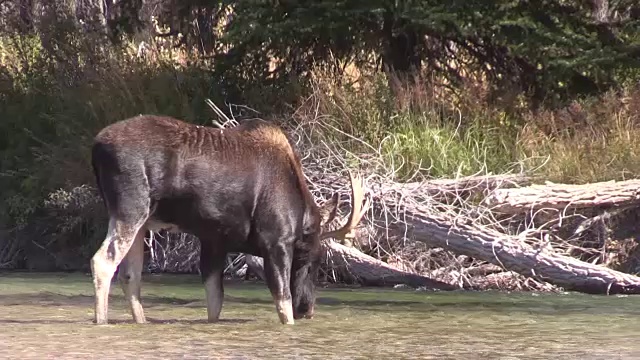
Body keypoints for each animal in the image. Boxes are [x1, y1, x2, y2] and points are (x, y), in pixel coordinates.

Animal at [90, 115, 370, 326]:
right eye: (314, 260)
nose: (308, 309)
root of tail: (96, 145)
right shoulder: (276, 242)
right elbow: (283, 303)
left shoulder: (214, 241)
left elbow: (215, 303)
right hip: (130, 209)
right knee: (103, 261)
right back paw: (101, 322)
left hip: (140, 220)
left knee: (130, 274)